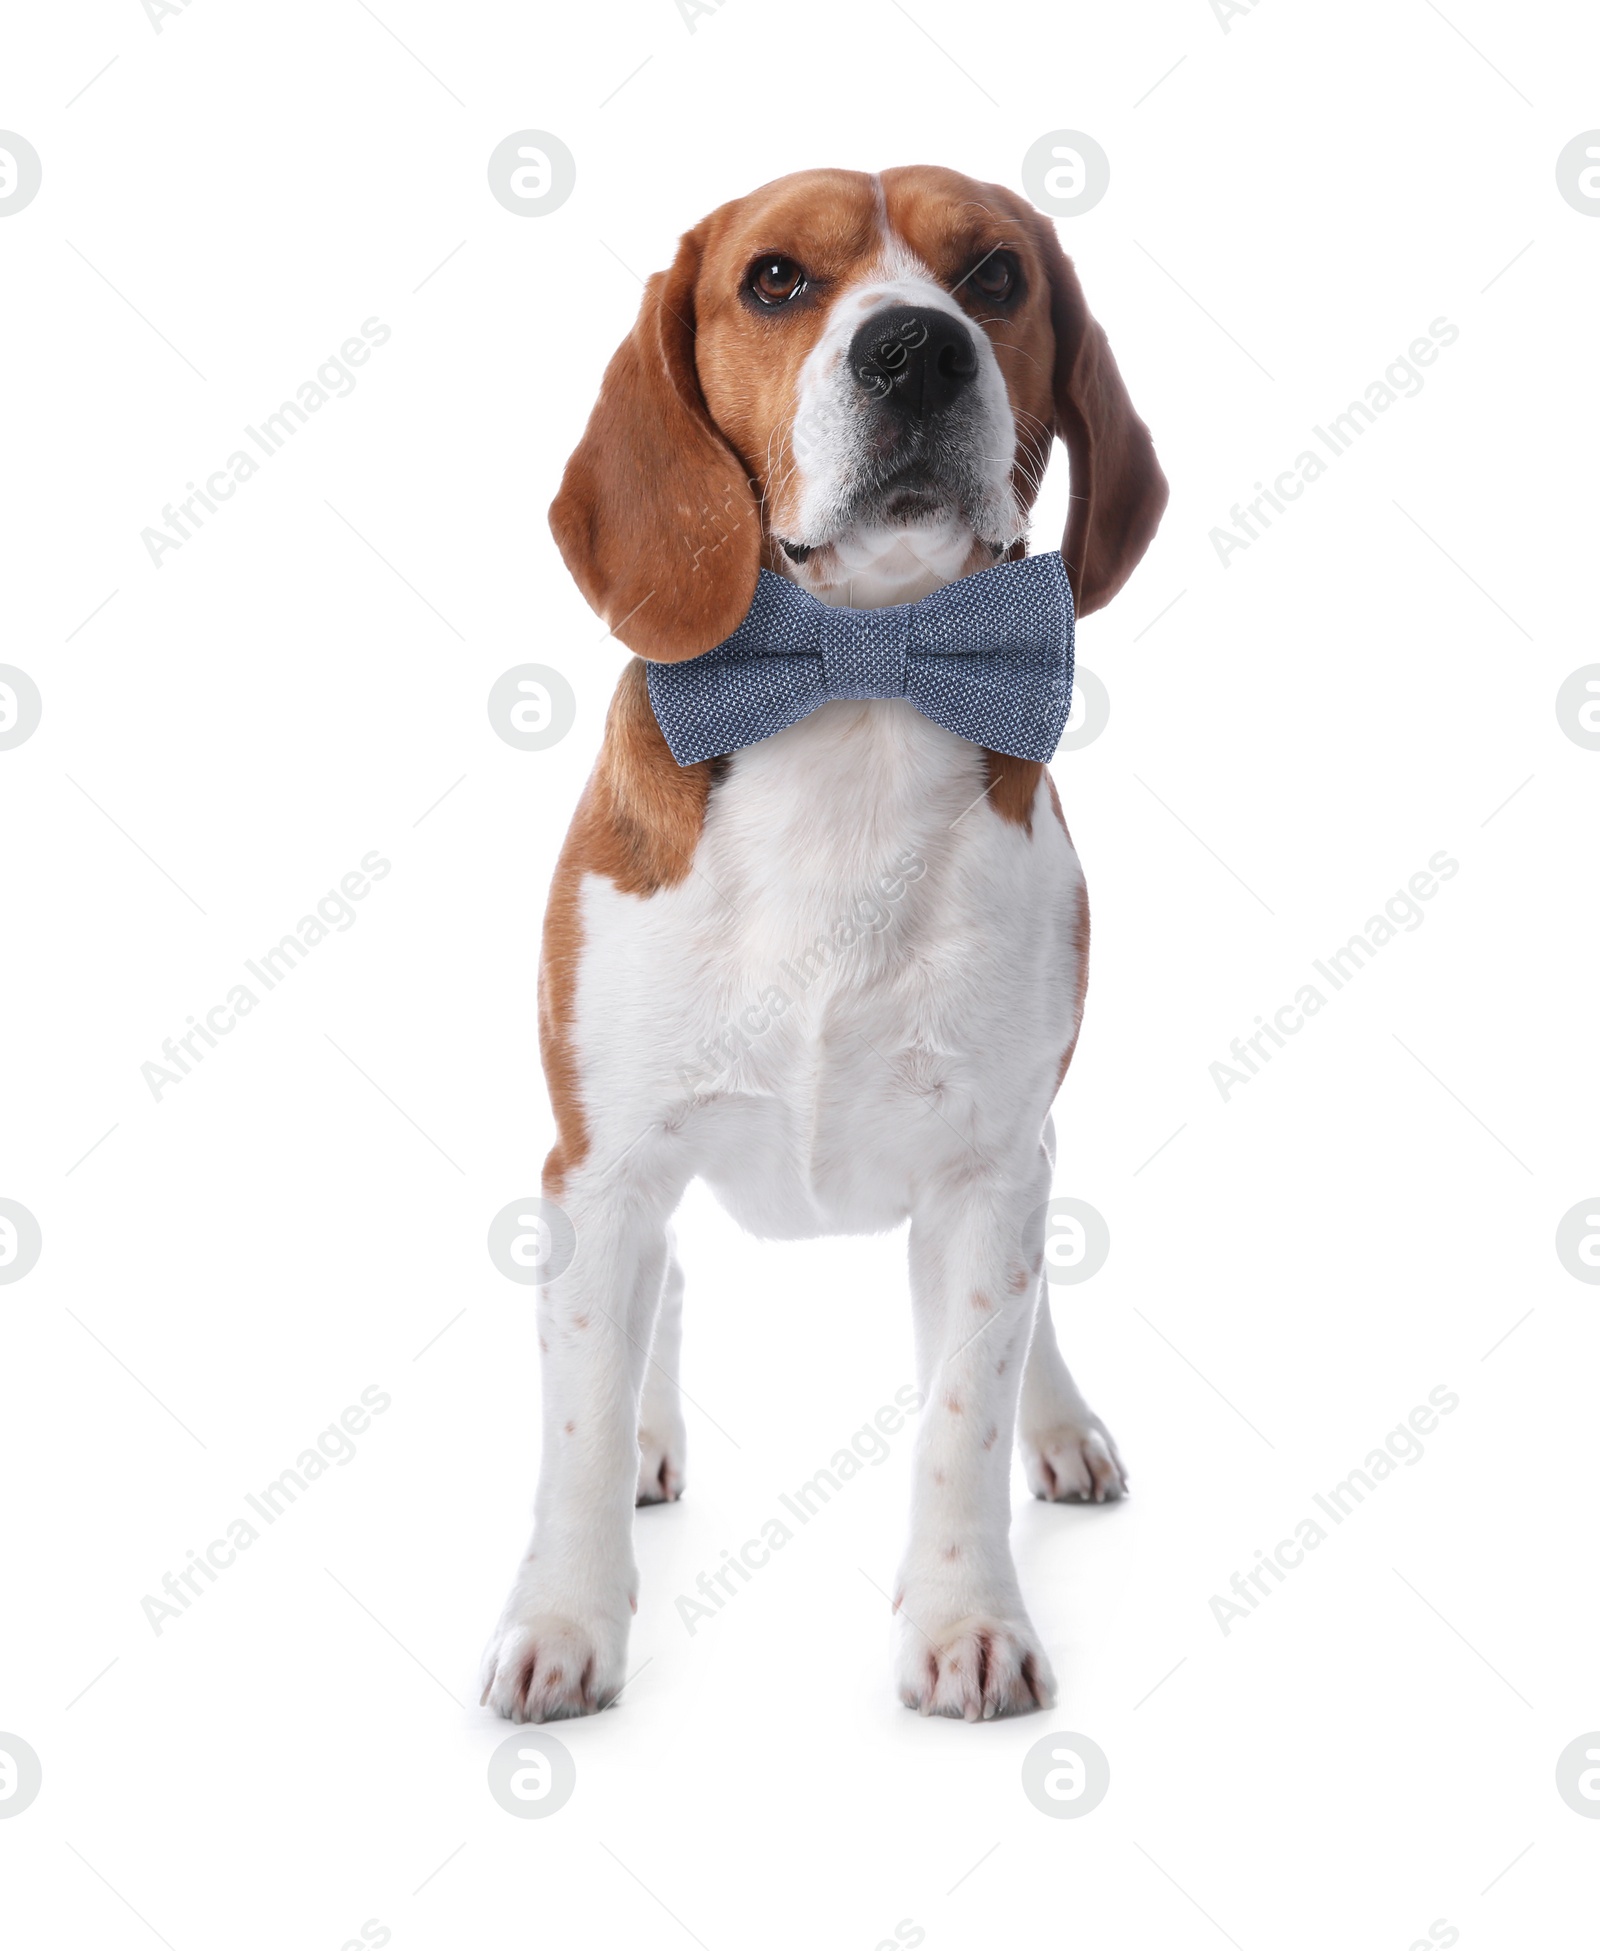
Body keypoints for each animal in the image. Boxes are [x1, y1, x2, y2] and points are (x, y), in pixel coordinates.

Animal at [481, 167, 1170, 1724]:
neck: (855, 685)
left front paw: (968, 1619)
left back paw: (1060, 1423)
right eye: (777, 280)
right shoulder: (599, 1168)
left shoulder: (986, 1169)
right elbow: (572, 1423)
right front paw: (562, 1619)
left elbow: (964, 1415)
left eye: (995, 274)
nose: (913, 349)